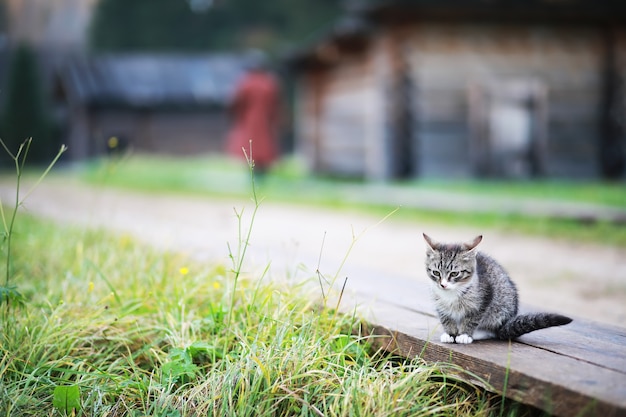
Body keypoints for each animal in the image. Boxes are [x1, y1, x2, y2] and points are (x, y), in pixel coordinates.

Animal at [420, 232, 572, 342]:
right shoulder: (439, 303)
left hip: (501, 309)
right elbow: (446, 318)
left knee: (494, 331)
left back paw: (479, 334)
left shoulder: (485, 297)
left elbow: (472, 319)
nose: (443, 284)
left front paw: (464, 335)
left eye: (454, 273)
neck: (452, 293)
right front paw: (450, 334)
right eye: (436, 273)